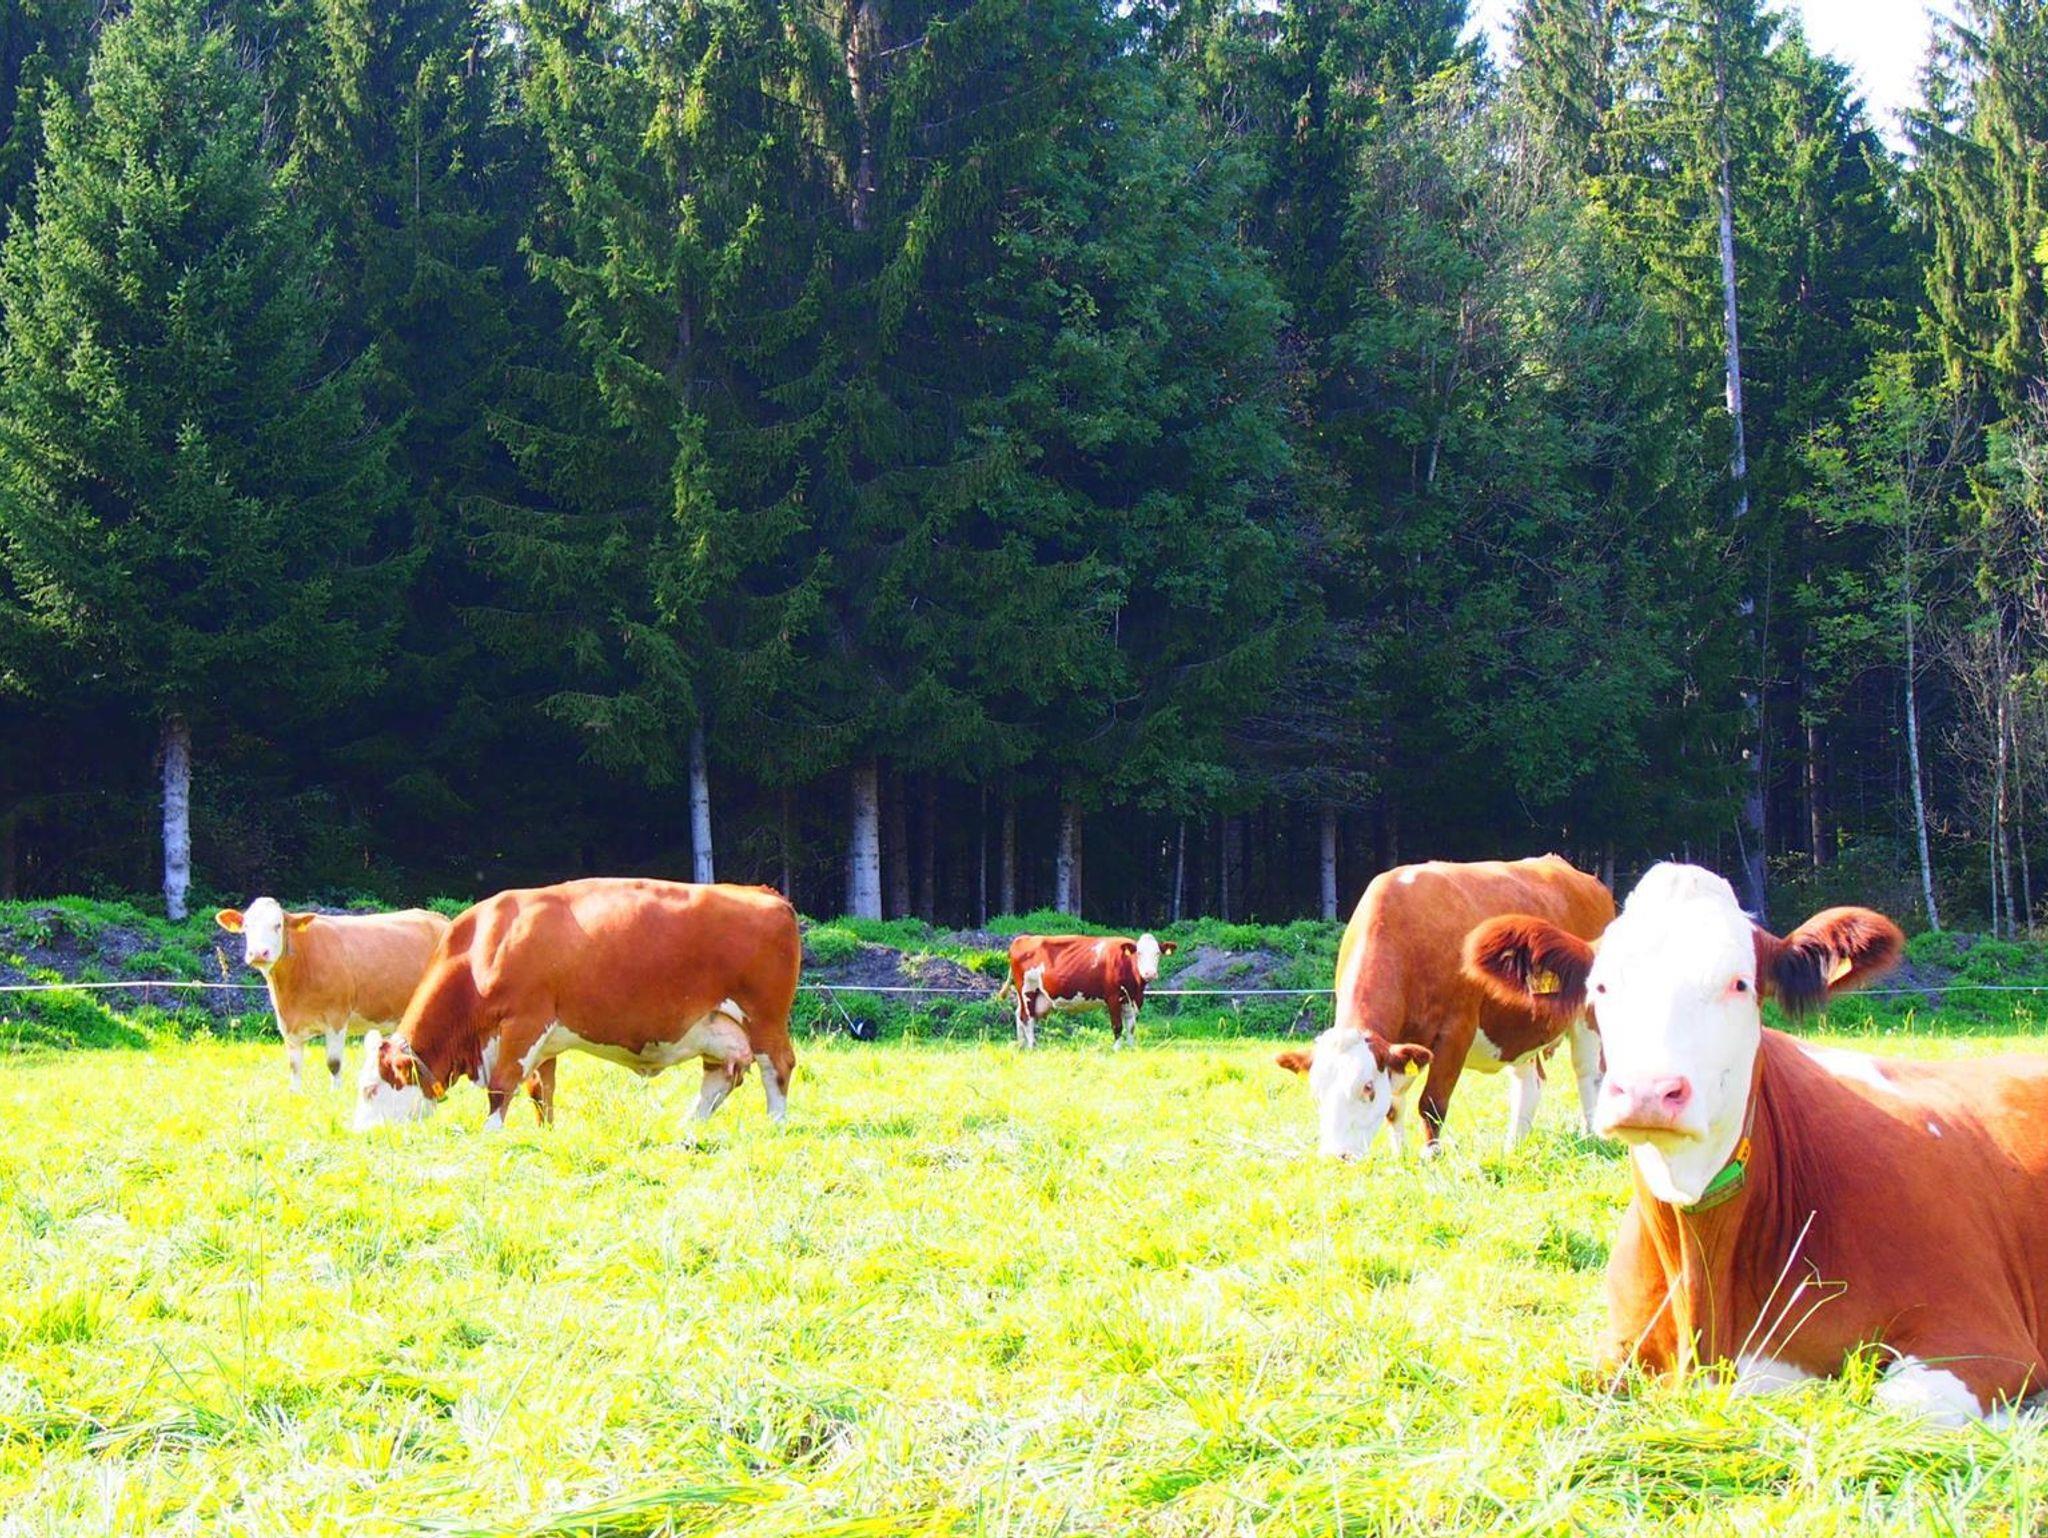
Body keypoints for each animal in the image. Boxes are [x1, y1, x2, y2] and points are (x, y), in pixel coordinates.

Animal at [216, 898, 457, 1093]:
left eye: (278, 925)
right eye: (246, 927)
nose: (258, 953)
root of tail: (442, 920)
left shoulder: (336, 1017)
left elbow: (334, 1063)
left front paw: (335, 1093)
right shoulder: (288, 1023)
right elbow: (294, 1065)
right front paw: (295, 1093)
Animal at [354, 877, 801, 1133]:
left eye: (372, 1088)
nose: (361, 1137)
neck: (484, 946)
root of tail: (766, 894)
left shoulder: (523, 1022)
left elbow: (503, 1085)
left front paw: (491, 1134)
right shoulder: (545, 1037)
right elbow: (540, 1088)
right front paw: (545, 1134)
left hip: (764, 1019)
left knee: (777, 1068)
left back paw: (775, 1126)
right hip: (715, 1026)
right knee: (719, 1078)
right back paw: (687, 1127)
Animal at [1003, 933, 1176, 1048]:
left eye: (1158, 953)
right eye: (1139, 953)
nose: (1149, 973)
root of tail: (1022, 938)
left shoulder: (1131, 1000)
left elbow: (1131, 1026)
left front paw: (1131, 1048)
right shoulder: (1113, 997)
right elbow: (1117, 1025)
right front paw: (1117, 1049)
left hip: (1031, 995)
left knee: (1019, 1015)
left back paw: (1021, 1045)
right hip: (1028, 989)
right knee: (1027, 1018)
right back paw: (1032, 1046)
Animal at [1275, 855, 1614, 1160]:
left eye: (1367, 1088)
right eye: (1316, 1094)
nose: (1336, 1157)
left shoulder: (1456, 1031)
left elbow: (1432, 1103)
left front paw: (1432, 1155)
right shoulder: (1402, 1046)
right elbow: (1394, 1107)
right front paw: (1400, 1157)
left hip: (1588, 1015)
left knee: (1588, 1073)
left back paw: (1593, 1139)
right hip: (1520, 1026)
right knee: (1529, 1082)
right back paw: (1513, 1148)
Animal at [1460, 863, 2048, 1425]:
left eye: (1740, 985)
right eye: (1601, 987)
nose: (1648, 1091)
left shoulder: (1980, 1339)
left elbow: (1897, 1404)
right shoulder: (1617, 1350)